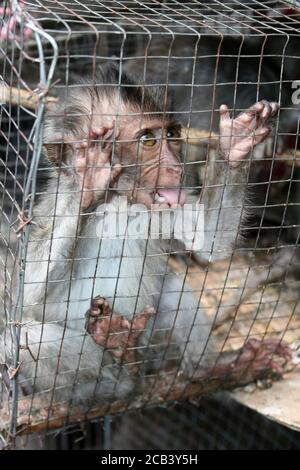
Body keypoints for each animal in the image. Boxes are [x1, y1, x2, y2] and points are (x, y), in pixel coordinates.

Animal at [0, 63, 292, 412]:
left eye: (172, 135)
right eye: (148, 141)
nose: (176, 167)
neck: (120, 204)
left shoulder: (162, 209)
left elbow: (207, 242)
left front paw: (236, 145)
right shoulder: (52, 207)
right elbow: (24, 297)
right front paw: (87, 179)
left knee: (171, 287)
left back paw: (207, 367)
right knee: (21, 339)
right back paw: (116, 372)